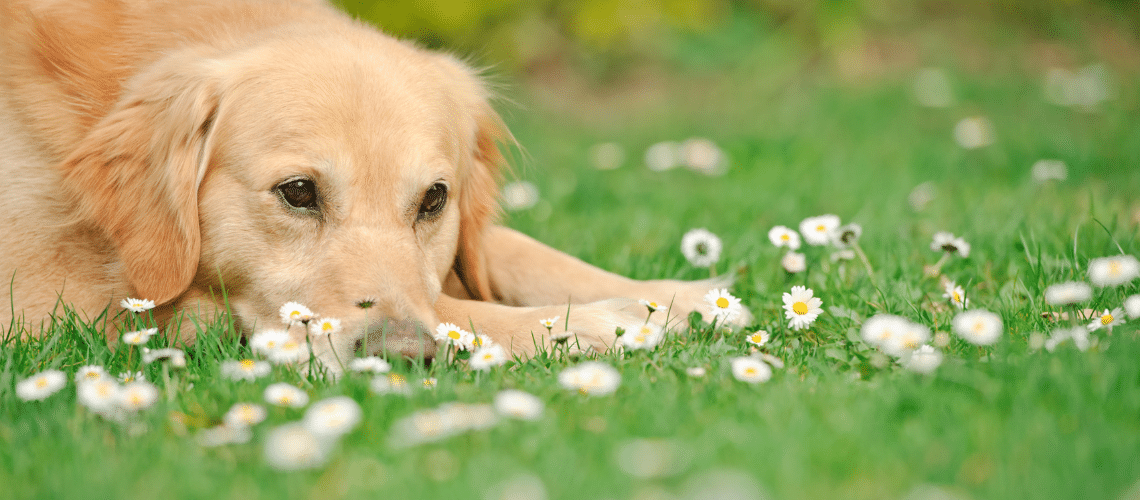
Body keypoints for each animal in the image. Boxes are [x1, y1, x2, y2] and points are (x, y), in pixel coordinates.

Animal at [2, 0, 747, 371]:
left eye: (434, 200)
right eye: (298, 192)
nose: (401, 356)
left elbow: (510, 250)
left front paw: (676, 297)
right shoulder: (59, 307)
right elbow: (458, 309)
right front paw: (589, 324)